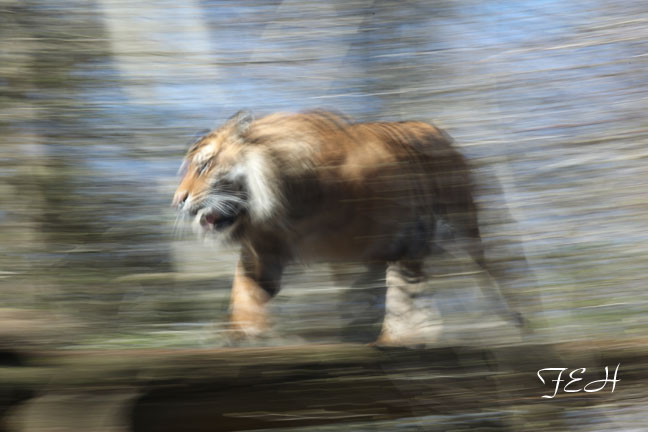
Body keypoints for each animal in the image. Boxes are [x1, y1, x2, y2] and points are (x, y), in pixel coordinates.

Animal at [173, 110, 527, 343]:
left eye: (204, 166)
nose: (177, 200)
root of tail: (438, 132)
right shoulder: (263, 253)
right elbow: (246, 292)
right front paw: (240, 331)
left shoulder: (387, 243)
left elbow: (390, 295)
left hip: (461, 223)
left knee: (489, 271)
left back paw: (514, 322)